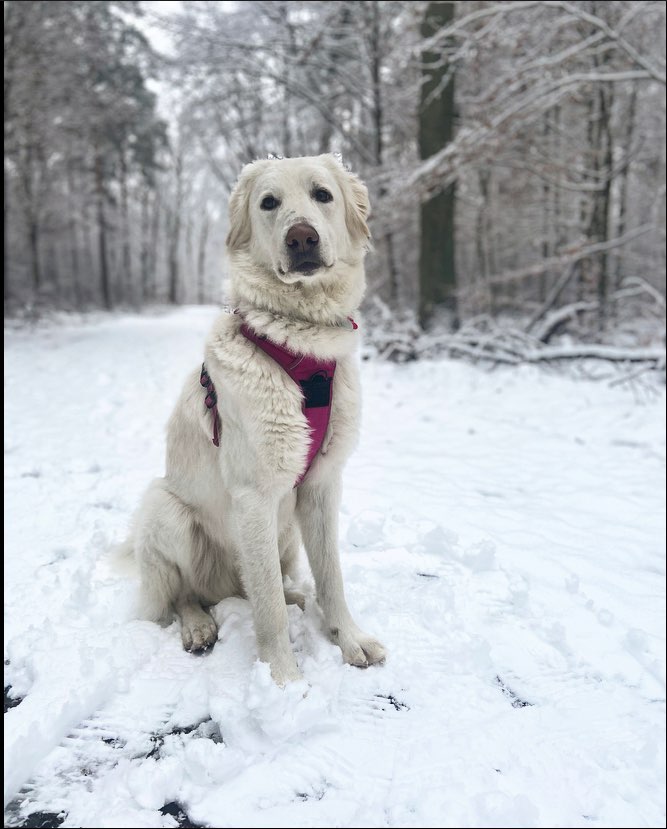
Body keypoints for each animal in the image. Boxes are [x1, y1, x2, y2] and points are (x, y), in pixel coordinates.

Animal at [126, 155, 386, 684]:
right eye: (269, 203)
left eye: (322, 194)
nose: (302, 237)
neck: (301, 344)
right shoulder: (255, 496)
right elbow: (266, 610)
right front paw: (283, 680)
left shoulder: (321, 487)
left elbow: (332, 578)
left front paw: (348, 638)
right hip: (166, 508)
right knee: (188, 594)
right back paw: (199, 626)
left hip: (285, 534)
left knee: (267, 585)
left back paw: (296, 596)